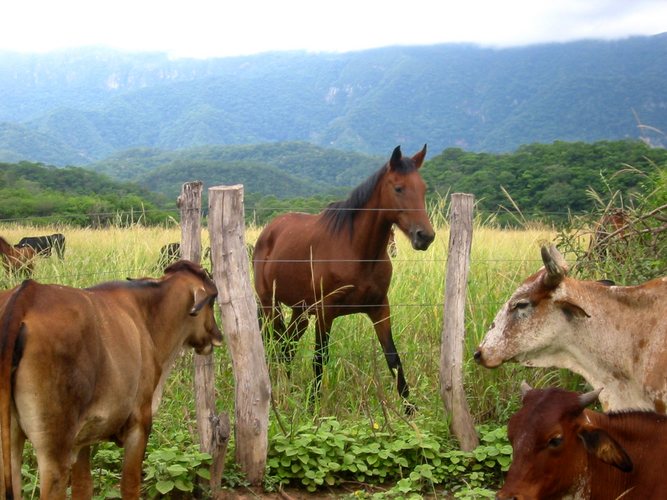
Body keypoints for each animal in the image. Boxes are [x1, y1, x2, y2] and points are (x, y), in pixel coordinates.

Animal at [0, 262, 224, 500]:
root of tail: (27, 295)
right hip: (53, 453)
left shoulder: (82, 437)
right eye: (212, 300)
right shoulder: (140, 422)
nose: (218, 336)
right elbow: (130, 486)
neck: (147, 315)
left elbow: (83, 488)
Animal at [253, 144, 436, 410]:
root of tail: (268, 231)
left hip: (300, 311)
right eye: (398, 188)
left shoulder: (380, 308)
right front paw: (313, 408)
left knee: (288, 346)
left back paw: (288, 388)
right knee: (276, 344)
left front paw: (411, 412)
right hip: (270, 305)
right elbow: (320, 359)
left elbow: (393, 358)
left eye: (423, 189)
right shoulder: (325, 312)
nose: (425, 236)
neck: (358, 252)